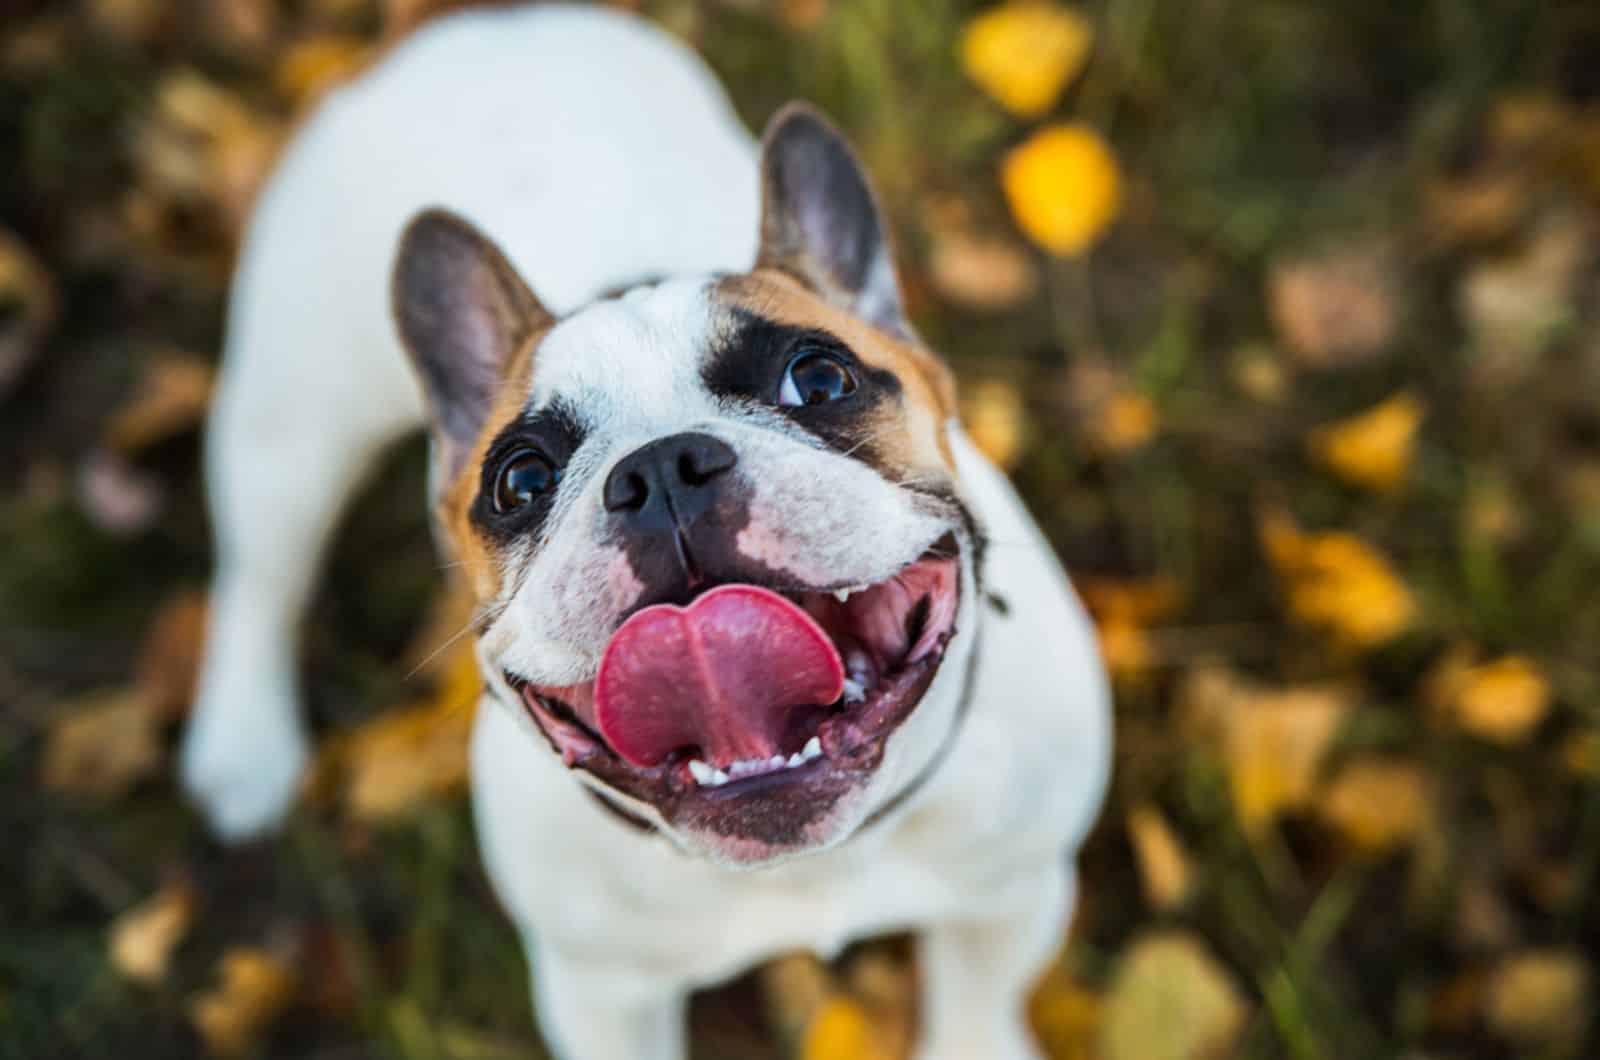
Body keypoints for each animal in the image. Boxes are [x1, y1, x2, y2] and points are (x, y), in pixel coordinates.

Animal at [181, 4, 1113, 1056]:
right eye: (520, 480)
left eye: (819, 378)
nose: (662, 470)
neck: (810, 858)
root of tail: (488, 26)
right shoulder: (601, 992)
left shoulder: (1010, 895)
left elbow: (977, 1006)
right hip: (289, 429)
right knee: (262, 577)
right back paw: (245, 749)